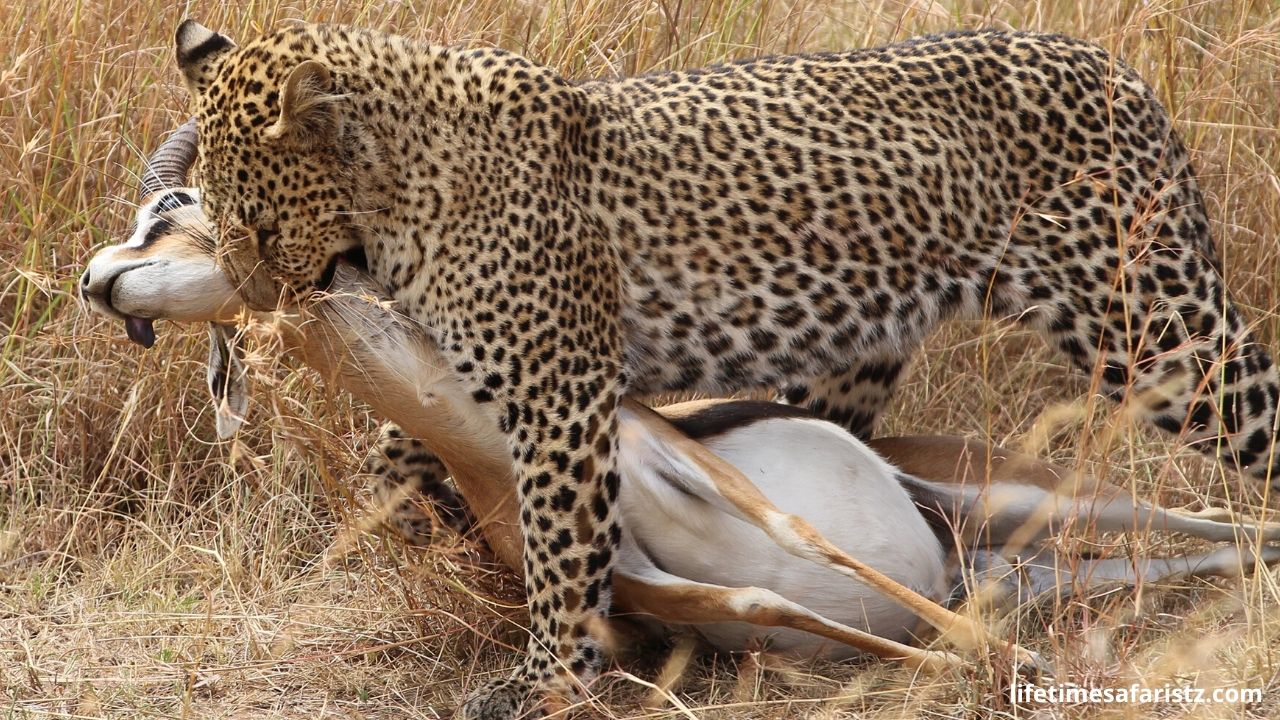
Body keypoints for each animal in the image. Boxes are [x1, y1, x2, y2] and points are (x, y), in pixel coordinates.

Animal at [172, 20, 1279, 718]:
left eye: (256, 222)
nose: (252, 301)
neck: (397, 187)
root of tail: (1118, 71)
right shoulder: (493, 373)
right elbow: (404, 447)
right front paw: (409, 517)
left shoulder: (563, 392)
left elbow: (560, 547)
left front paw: (547, 677)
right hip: (856, 364)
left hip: (1160, 332)